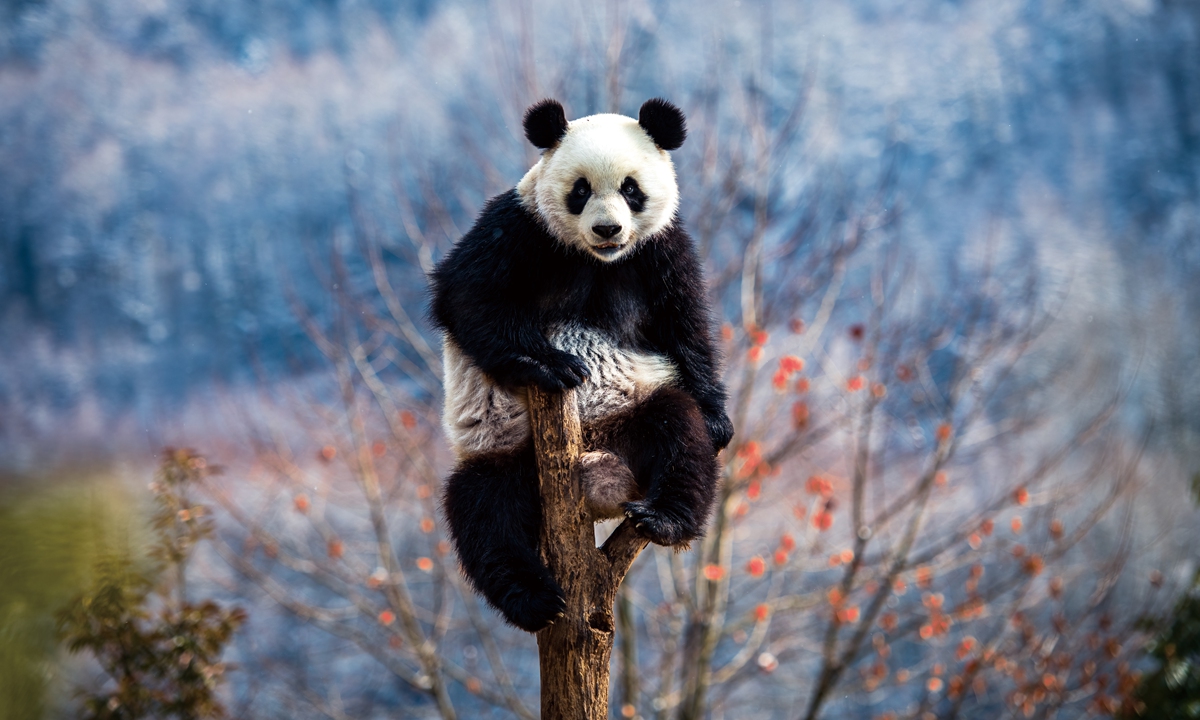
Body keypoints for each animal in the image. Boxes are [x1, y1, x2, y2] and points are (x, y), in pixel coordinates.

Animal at [430, 98, 733, 633]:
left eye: (631, 188)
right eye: (580, 190)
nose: (607, 229)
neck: (598, 259)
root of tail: (598, 475)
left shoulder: (661, 250)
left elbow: (684, 323)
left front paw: (718, 418)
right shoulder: (520, 229)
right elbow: (468, 297)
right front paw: (552, 365)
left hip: (631, 424)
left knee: (678, 430)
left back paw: (664, 518)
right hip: (510, 456)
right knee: (483, 511)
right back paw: (533, 599)